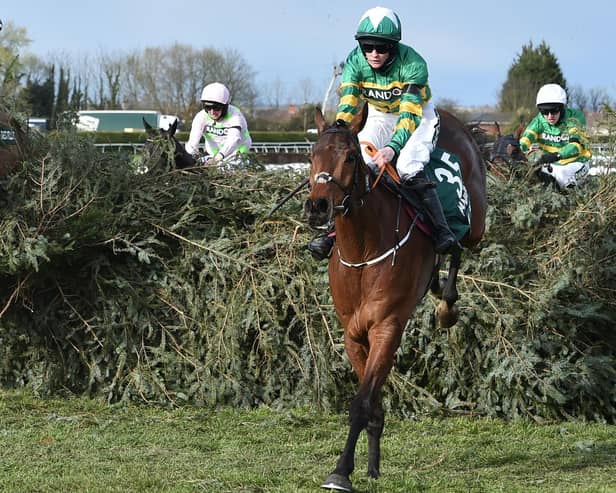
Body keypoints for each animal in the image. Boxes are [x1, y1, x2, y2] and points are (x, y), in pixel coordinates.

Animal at [304, 103, 486, 488]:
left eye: (350, 157)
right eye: (312, 155)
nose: (318, 207)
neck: (362, 249)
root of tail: (452, 117)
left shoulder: (386, 327)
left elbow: (361, 403)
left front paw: (341, 472)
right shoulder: (353, 333)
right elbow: (371, 401)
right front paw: (371, 467)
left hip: (475, 221)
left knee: (458, 243)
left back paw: (447, 301)